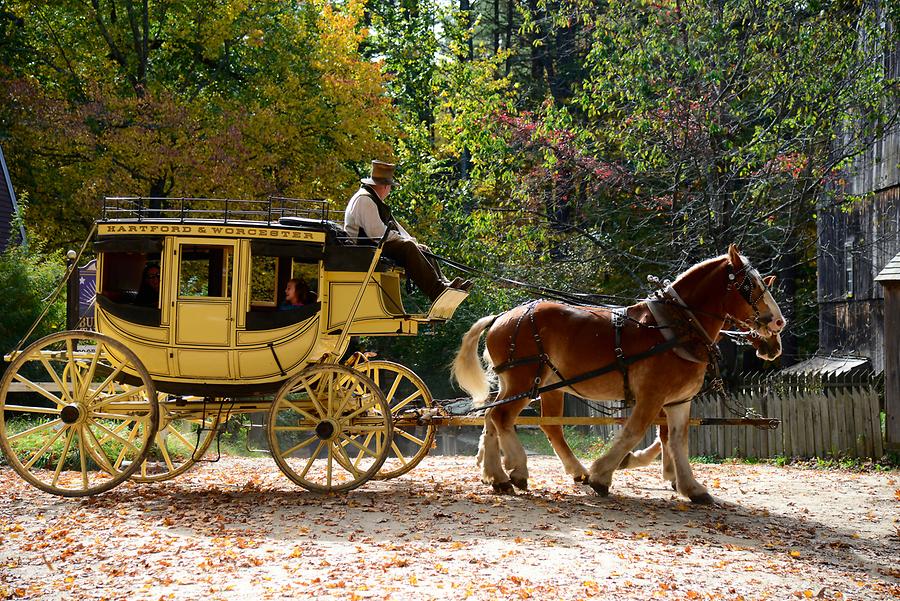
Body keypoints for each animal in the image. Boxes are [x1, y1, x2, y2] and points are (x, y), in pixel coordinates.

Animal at [454, 244, 784, 502]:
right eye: (750, 286)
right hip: (524, 380)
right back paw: (515, 470)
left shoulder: (678, 401)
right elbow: (633, 432)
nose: (779, 322)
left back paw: (498, 473)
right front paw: (602, 475)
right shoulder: (651, 396)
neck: (677, 325)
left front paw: (691, 487)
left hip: (529, 383)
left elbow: (677, 439)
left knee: (498, 419)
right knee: (501, 417)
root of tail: (502, 316)